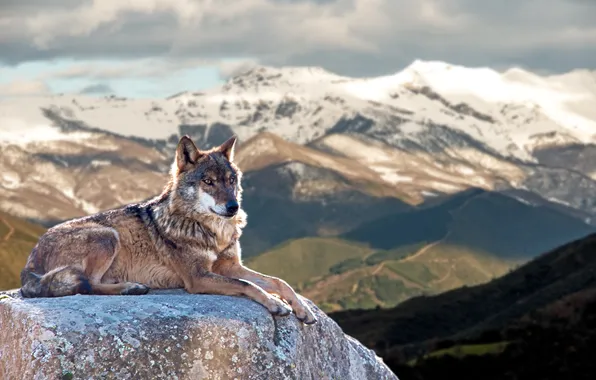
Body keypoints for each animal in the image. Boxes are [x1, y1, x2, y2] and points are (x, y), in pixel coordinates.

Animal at [19, 134, 316, 324]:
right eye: (208, 182)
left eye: (231, 180)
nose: (233, 207)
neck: (211, 231)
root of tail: (30, 260)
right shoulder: (198, 277)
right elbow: (248, 285)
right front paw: (276, 304)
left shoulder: (229, 266)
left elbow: (278, 281)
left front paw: (302, 309)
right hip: (107, 236)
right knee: (88, 284)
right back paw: (130, 288)